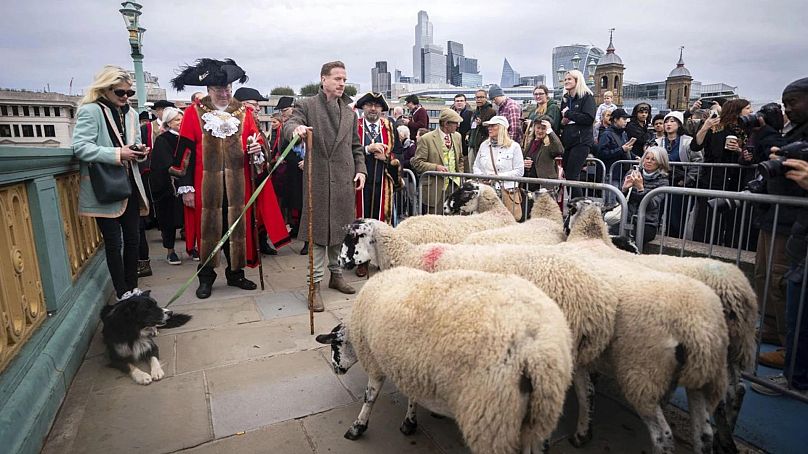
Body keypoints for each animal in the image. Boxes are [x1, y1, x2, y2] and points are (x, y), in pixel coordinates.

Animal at [312, 266, 572, 454]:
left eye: (334, 346)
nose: (336, 370)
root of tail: (538, 351)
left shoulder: (375, 362)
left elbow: (370, 397)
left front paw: (357, 428)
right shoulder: (412, 364)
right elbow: (412, 397)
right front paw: (409, 423)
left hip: (492, 415)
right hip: (539, 415)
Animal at [560, 199, 756, 454]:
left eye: (570, 209)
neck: (590, 237)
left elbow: (586, 391)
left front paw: (582, 433)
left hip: (645, 369)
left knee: (668, 430)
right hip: (721, 356)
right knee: (730, 399)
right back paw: (726, 441)